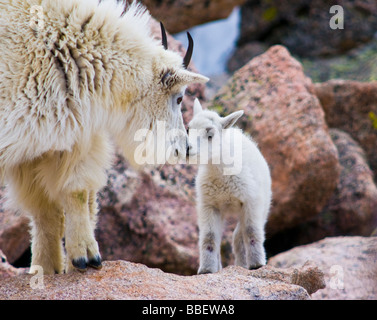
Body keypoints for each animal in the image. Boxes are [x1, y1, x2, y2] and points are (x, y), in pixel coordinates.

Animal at [0, 0, 209, 276]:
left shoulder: (50, 142)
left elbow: (67, 197)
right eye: (179, 98)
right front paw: (83, 257)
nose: (184, 149)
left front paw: (73, 261)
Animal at [187, 99, 270, 272]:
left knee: (239, 234)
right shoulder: (209, 205)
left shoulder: (251, 200)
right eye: (188, 129)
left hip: (264, 204)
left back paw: (243, 264)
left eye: (210, 135)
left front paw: (257, 264)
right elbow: (209, 237)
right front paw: (207, 269)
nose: (186, 148)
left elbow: (251, 231)